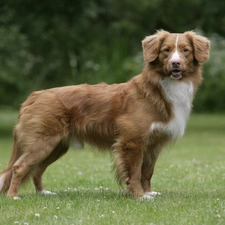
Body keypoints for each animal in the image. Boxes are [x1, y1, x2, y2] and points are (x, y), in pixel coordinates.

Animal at [0, 30, 210, 200]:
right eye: (166, 50)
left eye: (185, 50)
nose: (175, 64)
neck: (158, 89)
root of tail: (33, 96)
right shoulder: (132, 142)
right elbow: (135, 172)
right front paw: (139, 196)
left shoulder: (153, 144)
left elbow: (147, 172)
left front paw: (148, 192)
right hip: (43, 142)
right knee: (19, 167)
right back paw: (13, 196)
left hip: (56, 146)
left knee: (36, 170)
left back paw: (43, 193)